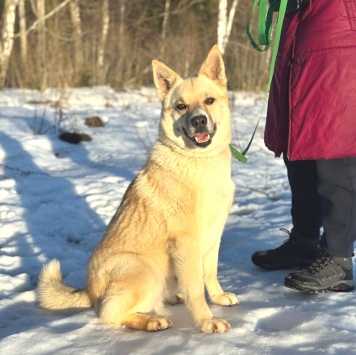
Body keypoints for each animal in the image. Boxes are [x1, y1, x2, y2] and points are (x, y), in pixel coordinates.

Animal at [36, 44, 239, 334]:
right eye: (181, 106)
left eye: (209, 100)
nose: (199, 121)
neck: (199, 162)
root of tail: (89, 291)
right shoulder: (187, 241)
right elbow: (196, 288)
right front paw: (206, 320)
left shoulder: (213, 234)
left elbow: (209, 273)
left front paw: (219, 297)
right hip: (145, 268)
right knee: (110, 313)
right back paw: (152, 320)